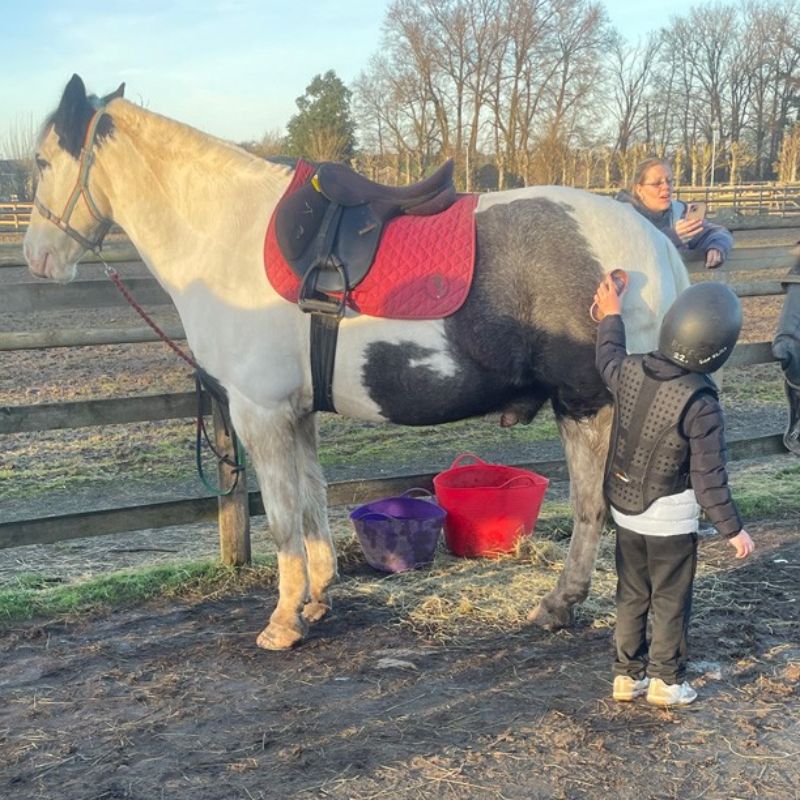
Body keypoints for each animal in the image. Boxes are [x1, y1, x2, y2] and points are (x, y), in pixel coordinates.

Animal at [24, 75, 691, 650]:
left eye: (41, 162)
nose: (36, 257)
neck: (228, 238)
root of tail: (655, 245)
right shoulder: (295, 414)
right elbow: (313, 503)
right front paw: (317, 598)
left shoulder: (259, 413)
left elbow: (282, 519)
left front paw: (283, 621)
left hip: (590, 405)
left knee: (595, 510)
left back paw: (567, 607)